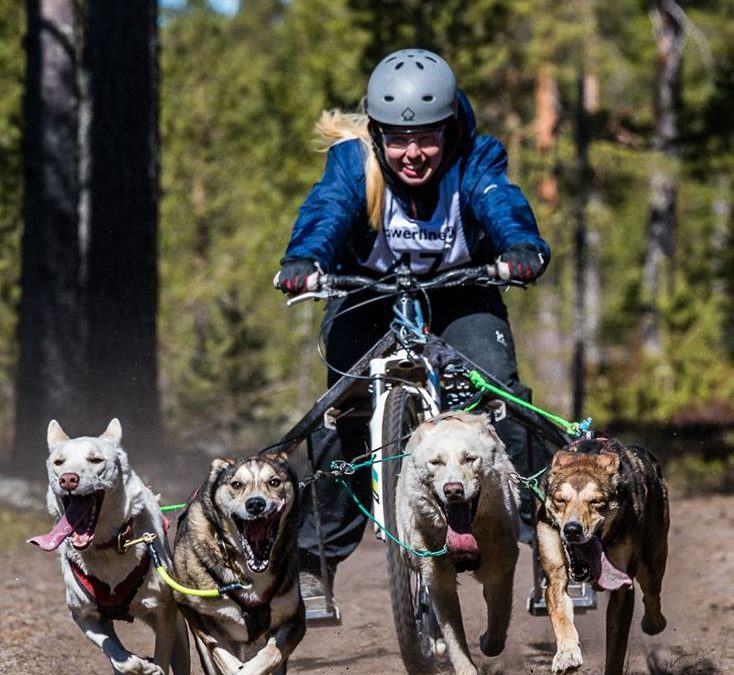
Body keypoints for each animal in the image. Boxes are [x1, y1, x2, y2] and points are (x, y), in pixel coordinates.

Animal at [396, 412, 524, 675]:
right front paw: (465, 667)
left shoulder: (500, 567)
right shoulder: (438, 578)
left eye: (470, 459)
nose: (453, 490)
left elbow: (499, 617)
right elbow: (453, 633)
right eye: (436, 462)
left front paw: (488, 641)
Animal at [536, 438, 672, 675]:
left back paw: (654, 624)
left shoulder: (623, 588)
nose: (572, 530)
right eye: (560, 500)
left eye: (596, 501)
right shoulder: (555, 578)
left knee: (652, 594)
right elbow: (561, 616)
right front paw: (567, 654)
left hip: (652, 559)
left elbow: (616, 648)